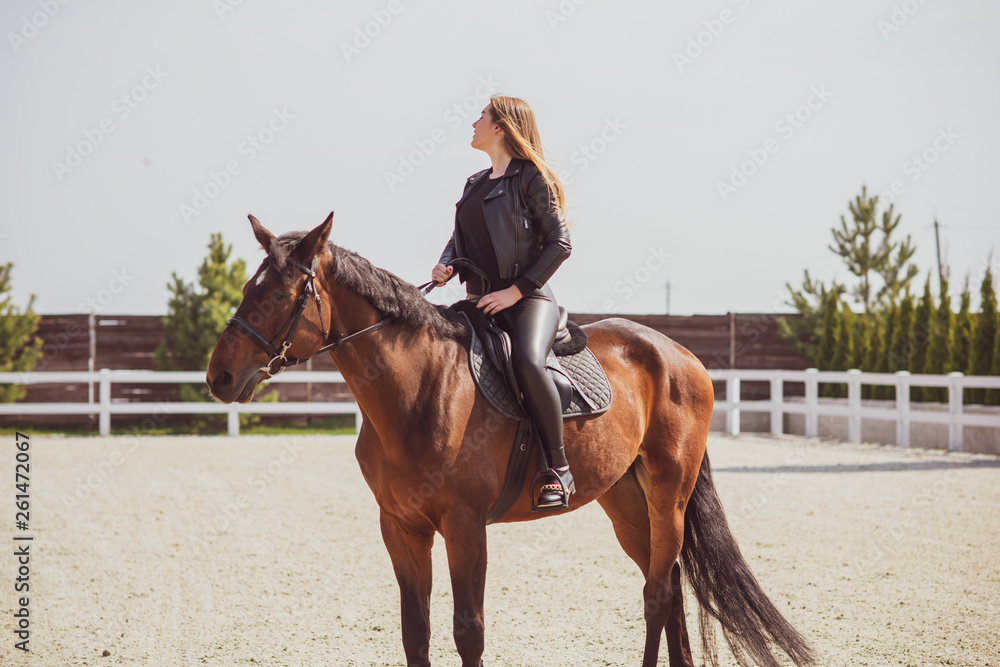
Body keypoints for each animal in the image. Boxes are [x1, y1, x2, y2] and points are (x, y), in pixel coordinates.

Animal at [206, 213, 815, 667]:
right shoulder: (400, 527)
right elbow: (415, 632)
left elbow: (468, 631)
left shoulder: (465, 525)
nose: (219, 377)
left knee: (658, 593)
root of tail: (679, 354)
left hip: (669, 493)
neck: (420, 387)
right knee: (668, 585)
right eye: (248, 288)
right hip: (625, 499)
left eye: (280, 294)